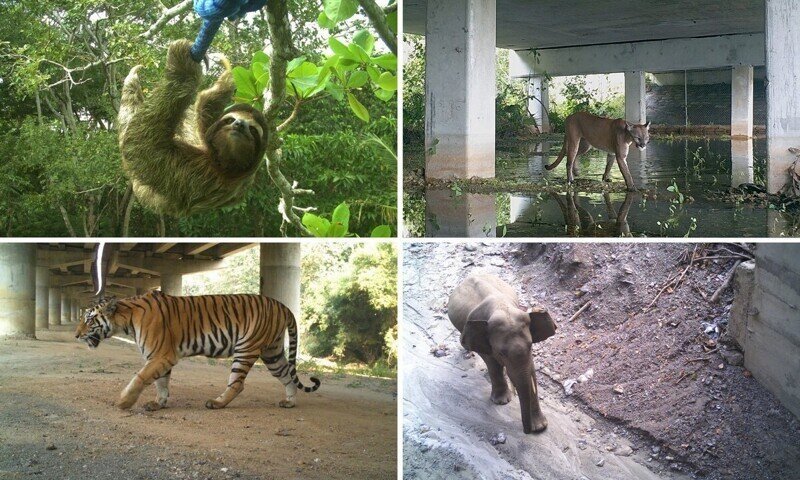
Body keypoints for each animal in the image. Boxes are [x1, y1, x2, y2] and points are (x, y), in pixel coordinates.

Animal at [74, 290, 318, 410]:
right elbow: (161, 383)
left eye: (89, 319)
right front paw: (158, 404)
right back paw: (289, 402)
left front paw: (124, 402)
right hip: (272, 352)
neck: (126, 319)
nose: (76, 335)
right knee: (286, 375)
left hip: (246, 348)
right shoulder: (159, 358)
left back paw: (217, 403)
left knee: (237, 384)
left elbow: (140, 378)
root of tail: (282, 305)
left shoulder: (162, 355)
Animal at [446, 274, 560, 436]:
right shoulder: (484, 341)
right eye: (501, 353)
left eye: (531, 345)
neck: (500, 308)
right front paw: (502, 402)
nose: (527, 431)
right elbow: (492, 363)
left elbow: (531, 371)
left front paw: (540, 427)